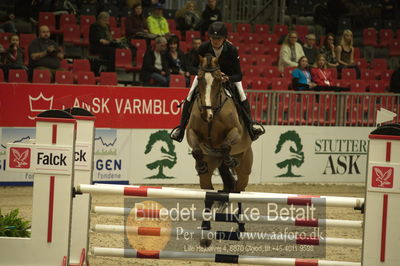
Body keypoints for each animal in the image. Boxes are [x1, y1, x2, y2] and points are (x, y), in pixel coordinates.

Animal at [187, 53, 253, 245]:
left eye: (218, 79)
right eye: (200, 78)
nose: (206, 114)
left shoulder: (236, 132)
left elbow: (225, 145)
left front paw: (230, 159)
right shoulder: (190, 132)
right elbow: (197, 150)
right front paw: (200, 164)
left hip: (245, 169)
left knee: (238, 192)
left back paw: (241, 226)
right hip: (209, 171)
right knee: (208, 193)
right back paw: (205, 227)